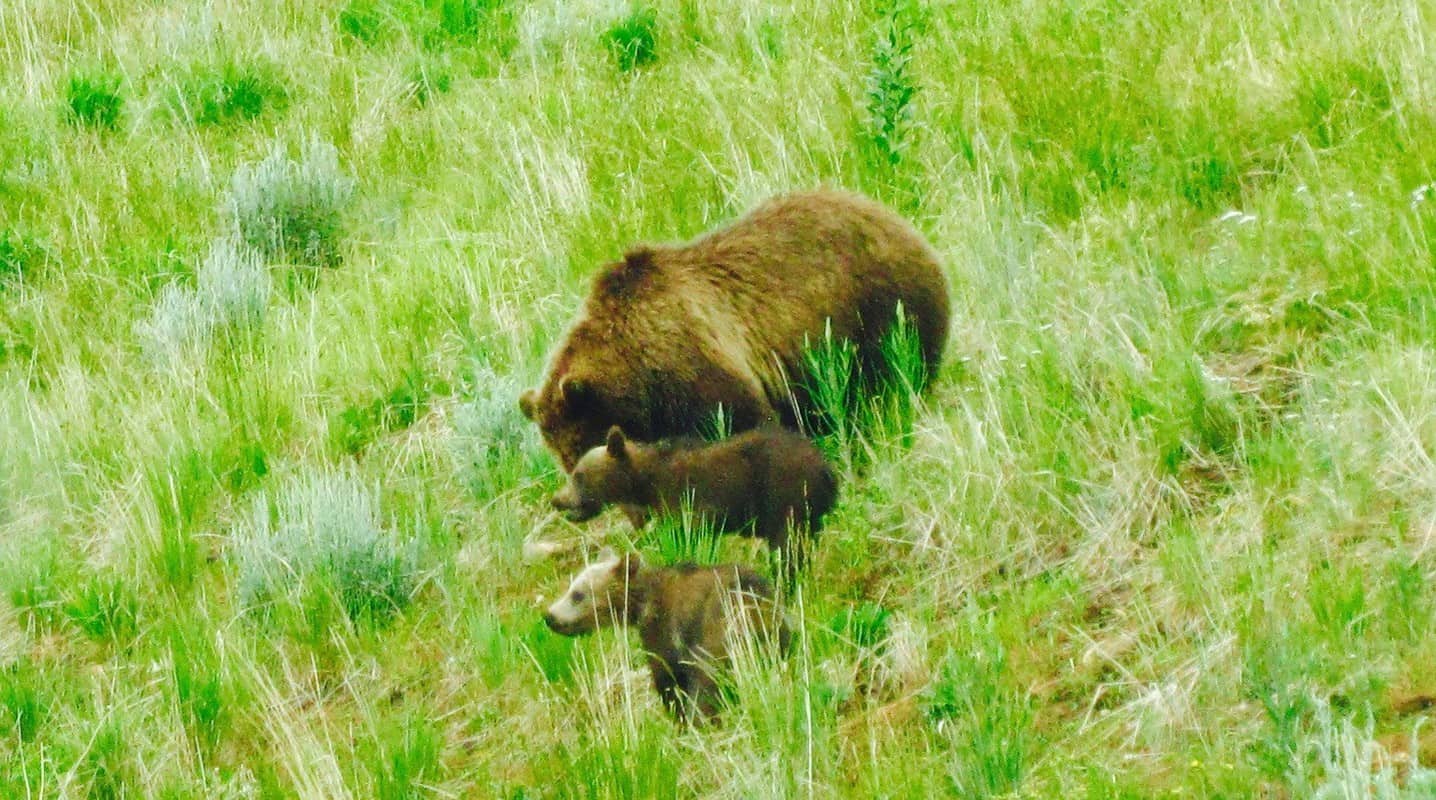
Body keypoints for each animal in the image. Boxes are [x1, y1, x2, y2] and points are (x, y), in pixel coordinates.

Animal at [522, 189, 947, 471]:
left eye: (581, 449)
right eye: (564, 458)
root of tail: (895, 218)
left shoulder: (695, 367)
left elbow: (742, 420)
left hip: (882, 311)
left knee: (894, 379)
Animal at [542, 545, 792, 721]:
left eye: (577, 594)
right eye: (571, 587)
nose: (550, 616)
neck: (642, 606)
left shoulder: (665, 634)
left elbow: (669, 679)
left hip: (718, 637)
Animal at [548, 425, 838, 580]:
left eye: (579, 475)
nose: (557, 500)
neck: (645, 482)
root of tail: (826, 469)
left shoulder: (688, 500)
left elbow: (688, 536)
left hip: (785, 495)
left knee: (787, 546)